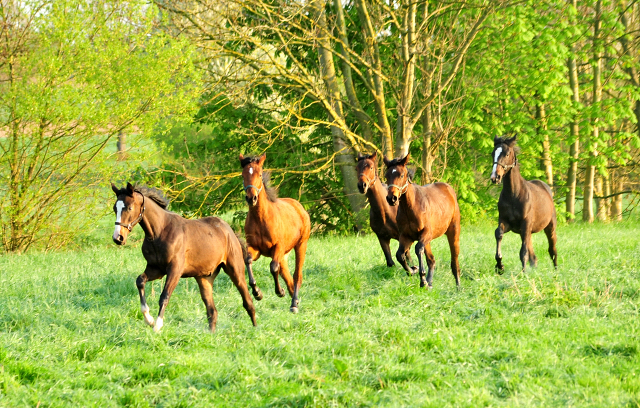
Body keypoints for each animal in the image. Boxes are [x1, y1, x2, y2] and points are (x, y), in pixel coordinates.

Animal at [111, 182, 256, 332]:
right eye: (115, 208)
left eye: (129, 207)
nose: (118, 238)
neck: (159, 232)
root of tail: (230, 232)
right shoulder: (156, 269)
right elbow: (140, 281)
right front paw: (149, 319)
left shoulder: (175, 270)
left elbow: (164, 296)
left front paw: (157, 326)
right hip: (204, 278)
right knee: (212, 311)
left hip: (235, 270)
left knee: (248, 301)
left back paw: (255, 330)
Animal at [239, 155, 312, 314]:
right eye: (243, 175)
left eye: (260, 174)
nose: (251, 198)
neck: (261, 218)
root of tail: (299, 206)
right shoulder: (255, 248)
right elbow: (248, 260)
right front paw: (257, 293)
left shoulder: (277, 247)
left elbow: (273, 267)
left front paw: (279, 292)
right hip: (284, 254)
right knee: (286, 274)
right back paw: (294, 298)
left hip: (301, 245)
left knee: (297, 275)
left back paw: (294, 303)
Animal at [382, 154, 462, 290]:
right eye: (387, 176)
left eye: (401, 175)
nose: (391, 198)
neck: (411, 207)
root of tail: (449, 189)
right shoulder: (406, 236)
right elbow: (399, 255)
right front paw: (413, 270)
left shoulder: (426, 233)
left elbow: (418, 249)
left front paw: (422, 279)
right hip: (427, 240)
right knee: (432, 260)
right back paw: (429, 283)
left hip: (452, 233)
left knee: (454, 260)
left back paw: (458, 286)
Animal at [490, 135, 556, 272]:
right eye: (493, 153)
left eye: (507, 153)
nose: (495, 177)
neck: (514, 195)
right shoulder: (506, 222)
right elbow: (498, 233)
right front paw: (500, 265)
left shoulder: (525, 223)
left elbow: (523, 251)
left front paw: (523, 272)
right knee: (533, 255)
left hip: (550, 226)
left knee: (552, 249)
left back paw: (556, 269)